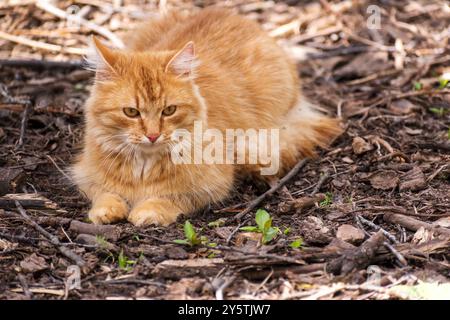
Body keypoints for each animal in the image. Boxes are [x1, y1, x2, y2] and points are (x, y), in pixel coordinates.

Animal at [72, 8, 342, 228]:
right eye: (131, 112)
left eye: (169, 110)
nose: (153, 135)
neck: (144, 166)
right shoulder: (85, 174)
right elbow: (104, 193)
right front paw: (107, 209)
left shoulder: (213, 185)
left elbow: (172, 197)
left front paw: (149, 210)